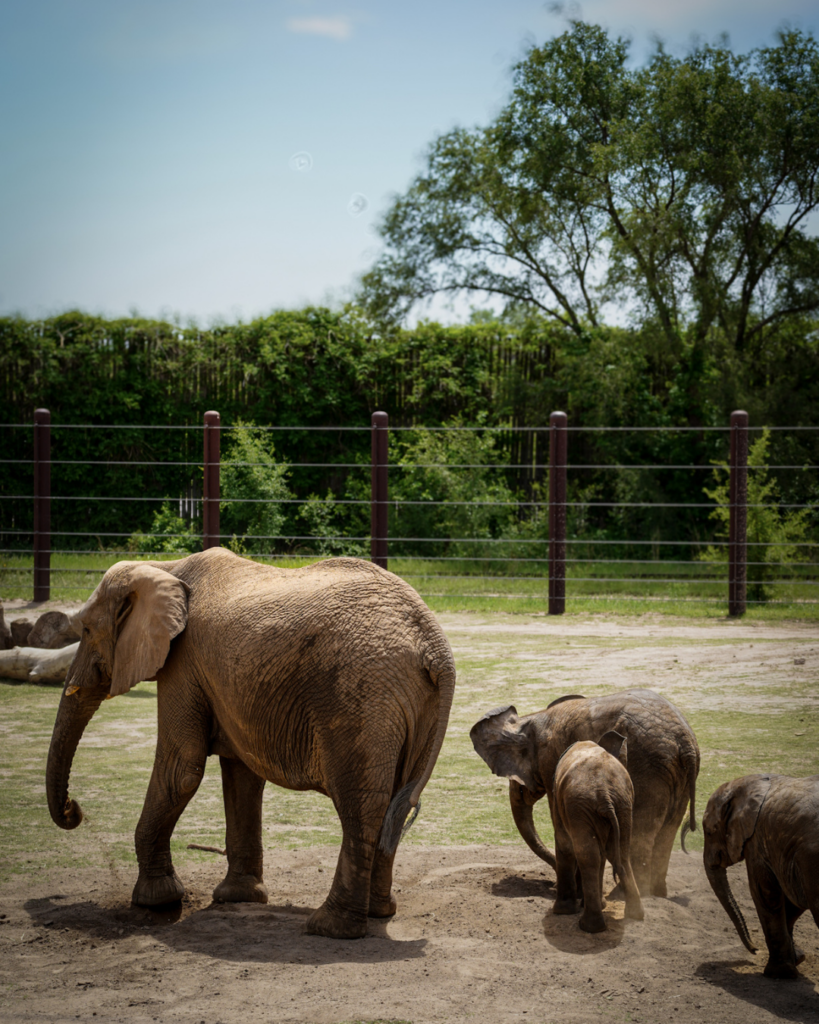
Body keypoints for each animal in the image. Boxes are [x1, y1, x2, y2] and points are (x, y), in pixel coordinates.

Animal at [46, 549, 456, 940]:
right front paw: (237, 898)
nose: (73, 809)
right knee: (395, 804)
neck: (164, 567)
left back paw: (330, 928)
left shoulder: (183, 661)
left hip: (361, 695)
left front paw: (156, 902)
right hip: (411, 704)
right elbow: (242, 776)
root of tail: (435, 645)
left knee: (362, 804)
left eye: (86, 629)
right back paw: (379, 913)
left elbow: (182, 770)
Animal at [470, 689, 699, 897]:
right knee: (667, 832)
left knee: (641, 834)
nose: (550, 884)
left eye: (517, 782)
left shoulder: (549, 761)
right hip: (676, 774)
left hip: (649, 769)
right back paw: (657, 895)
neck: (530, 720)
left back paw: (625, 895)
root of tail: (685, 741)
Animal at [551, 733, 644, 932]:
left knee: (588, 855)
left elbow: (564, 843)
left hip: (580, 806)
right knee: (621, 854)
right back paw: (635, 915)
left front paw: (562, 912)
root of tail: (605, 795)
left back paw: (589, 926)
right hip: (623, 805)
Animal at [702, 773, 819, 979]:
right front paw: (797, 959)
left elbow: (765, 894)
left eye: (709, 832)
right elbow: (793, 899)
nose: (754, 949)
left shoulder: (756, 840)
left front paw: (779, 973)